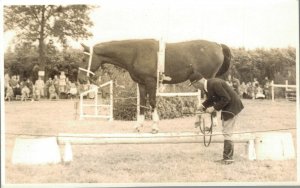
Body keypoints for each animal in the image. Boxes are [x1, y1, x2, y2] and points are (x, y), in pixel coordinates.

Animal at [78, 39, 231, 134]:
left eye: (84, 59)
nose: (81, 79)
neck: (135, 53)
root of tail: (217, 45)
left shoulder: (150, 82)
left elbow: (152, 102)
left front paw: (155, 127)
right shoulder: (141, 84)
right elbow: (142, 104)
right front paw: (138, 126)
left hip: (207, 79)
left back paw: (209, 124)